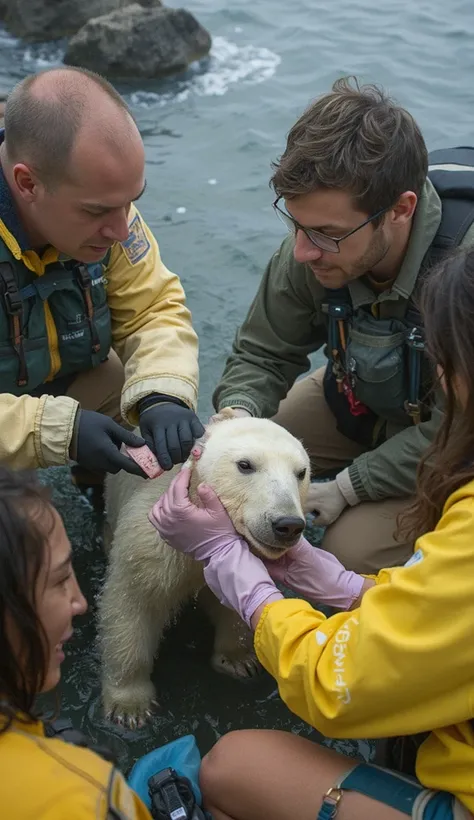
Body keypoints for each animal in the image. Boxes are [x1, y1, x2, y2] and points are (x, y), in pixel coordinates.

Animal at [99, 414, 312, 728]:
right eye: (245, 465)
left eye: (301, 472)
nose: (287, 525)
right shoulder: (151, 544)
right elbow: (133, 604)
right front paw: (129, 706)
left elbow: (236, 603)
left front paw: (238, 660)